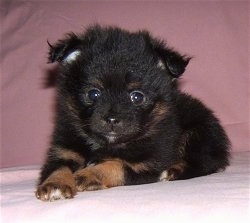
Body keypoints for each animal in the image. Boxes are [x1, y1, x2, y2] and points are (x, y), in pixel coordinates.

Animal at [35, 25, 230, 201]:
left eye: (137, 97)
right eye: (93, 93)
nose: (112, 119)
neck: (106, 144)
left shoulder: (146, 164)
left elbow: (115, 164)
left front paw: (87, 174)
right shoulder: (63, 152)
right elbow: (58, 168)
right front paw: (55, 184)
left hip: (197, 134)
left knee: (205, 163)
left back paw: (174, 170)